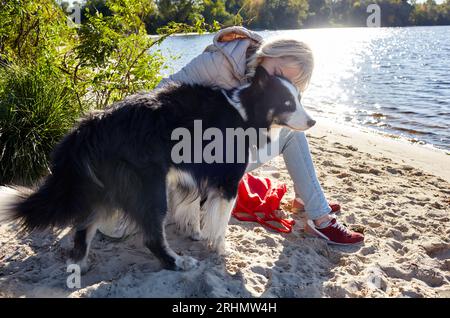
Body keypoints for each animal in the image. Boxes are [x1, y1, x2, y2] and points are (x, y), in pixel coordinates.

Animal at [0, 66, 316, 272]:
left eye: (299, 99)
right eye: (287, 103)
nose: (313, 122)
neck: (245, 110)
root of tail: (89, 126)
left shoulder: (188, 177)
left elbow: (192, 210)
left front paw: (196, 233)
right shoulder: (227, 181)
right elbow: (220, 222)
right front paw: (221, 249)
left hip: (110, 189)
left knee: (83, 228)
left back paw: (79, 265)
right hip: (147, 187)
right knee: (152, 237)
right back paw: (177, 262)